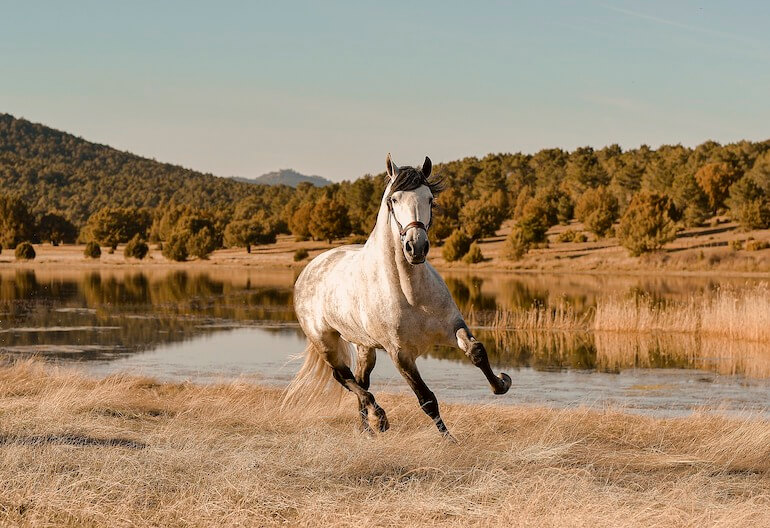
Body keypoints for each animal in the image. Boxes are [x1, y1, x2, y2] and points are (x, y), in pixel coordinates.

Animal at [285, 153, 511, 437]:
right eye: (393, 200)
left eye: (430, 199)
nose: (416, 247)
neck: (410, 293)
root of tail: (309, 269)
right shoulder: (400, 355)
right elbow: (427, 400)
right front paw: (451, 441)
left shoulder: (451, 328)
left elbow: (477, 351)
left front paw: (501, 383)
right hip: (325, 342)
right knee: (344, 377)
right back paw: (379, 418)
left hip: (364, 346)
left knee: (360, 380)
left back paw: (367, 430)